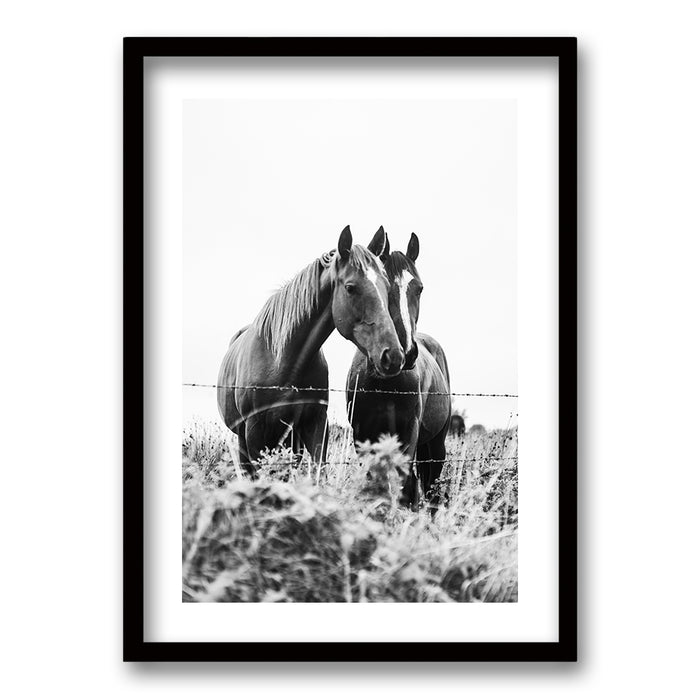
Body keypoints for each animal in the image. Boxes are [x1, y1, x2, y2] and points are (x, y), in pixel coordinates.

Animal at [218, 225, 405, 473]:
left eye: (387, 286)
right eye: (350, 287)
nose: (393, 356)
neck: (283, 360)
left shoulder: (315, 424)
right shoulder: (254, 431)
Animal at [346, 232, 452, 508]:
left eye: (419, 288)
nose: (406, 352)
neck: (385, 383)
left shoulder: (409, 433)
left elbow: (406, 487)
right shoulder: (362, 435)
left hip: (436, 444)